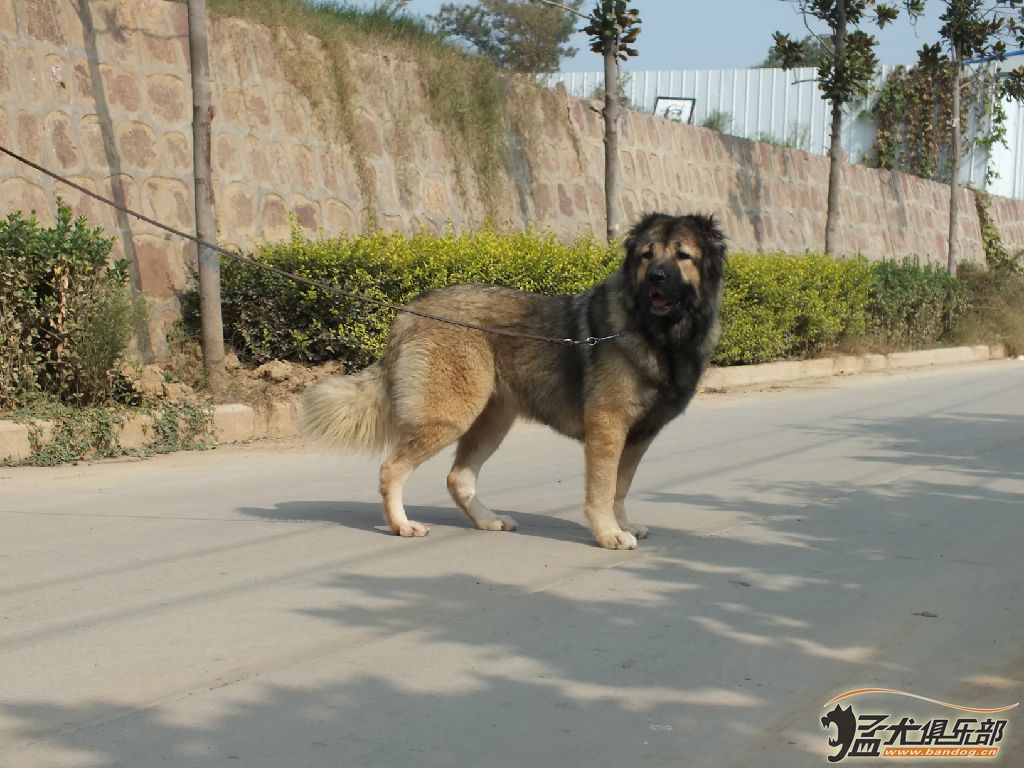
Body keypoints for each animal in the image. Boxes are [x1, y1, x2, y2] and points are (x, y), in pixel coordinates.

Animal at [303, 214, 729, 548]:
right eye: (647, 255)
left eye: (682, 255)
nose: (656, 277)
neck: (657, 332)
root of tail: (410, 311)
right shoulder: (608, 429)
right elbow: (603, 489)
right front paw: (608, 534)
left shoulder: (639, 436)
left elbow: (620, 487)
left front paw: (621, 524)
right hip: (450, 416)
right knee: (391, 469)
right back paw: (401, 525)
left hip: (491, 422)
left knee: (458, 477)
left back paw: (488, 520)